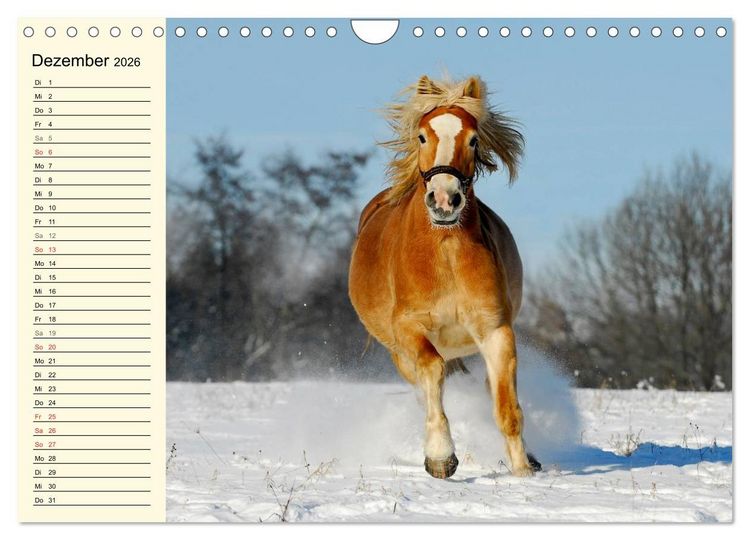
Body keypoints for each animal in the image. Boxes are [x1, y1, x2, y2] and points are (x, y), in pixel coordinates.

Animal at [348, 75, 540, 479]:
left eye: (473, 139)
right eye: (422, 136)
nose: (444, 199)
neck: (446, 251)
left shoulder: (495, 330)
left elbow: (507, 408)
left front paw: (523, 472)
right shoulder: (410, 329)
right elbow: (433, 373)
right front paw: (440, 457)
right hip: (399, 355)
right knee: (425, 388)